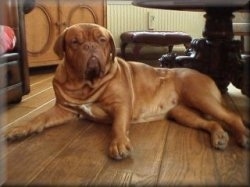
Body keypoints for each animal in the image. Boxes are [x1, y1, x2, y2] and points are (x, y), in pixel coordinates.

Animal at [4, 23, 249, 159]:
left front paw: (119, 143)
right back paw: (219, 136)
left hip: (199, 96)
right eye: (74, 42)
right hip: (183, 112)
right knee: (211, 123)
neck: (86, 84)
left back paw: (243, 136)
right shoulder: (64, 110)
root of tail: (204, 75)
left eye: (102, 40)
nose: (90, 47)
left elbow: (117, 126)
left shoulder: (121, 106)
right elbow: (39, 118)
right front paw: (20, 129)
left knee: (232, 117)